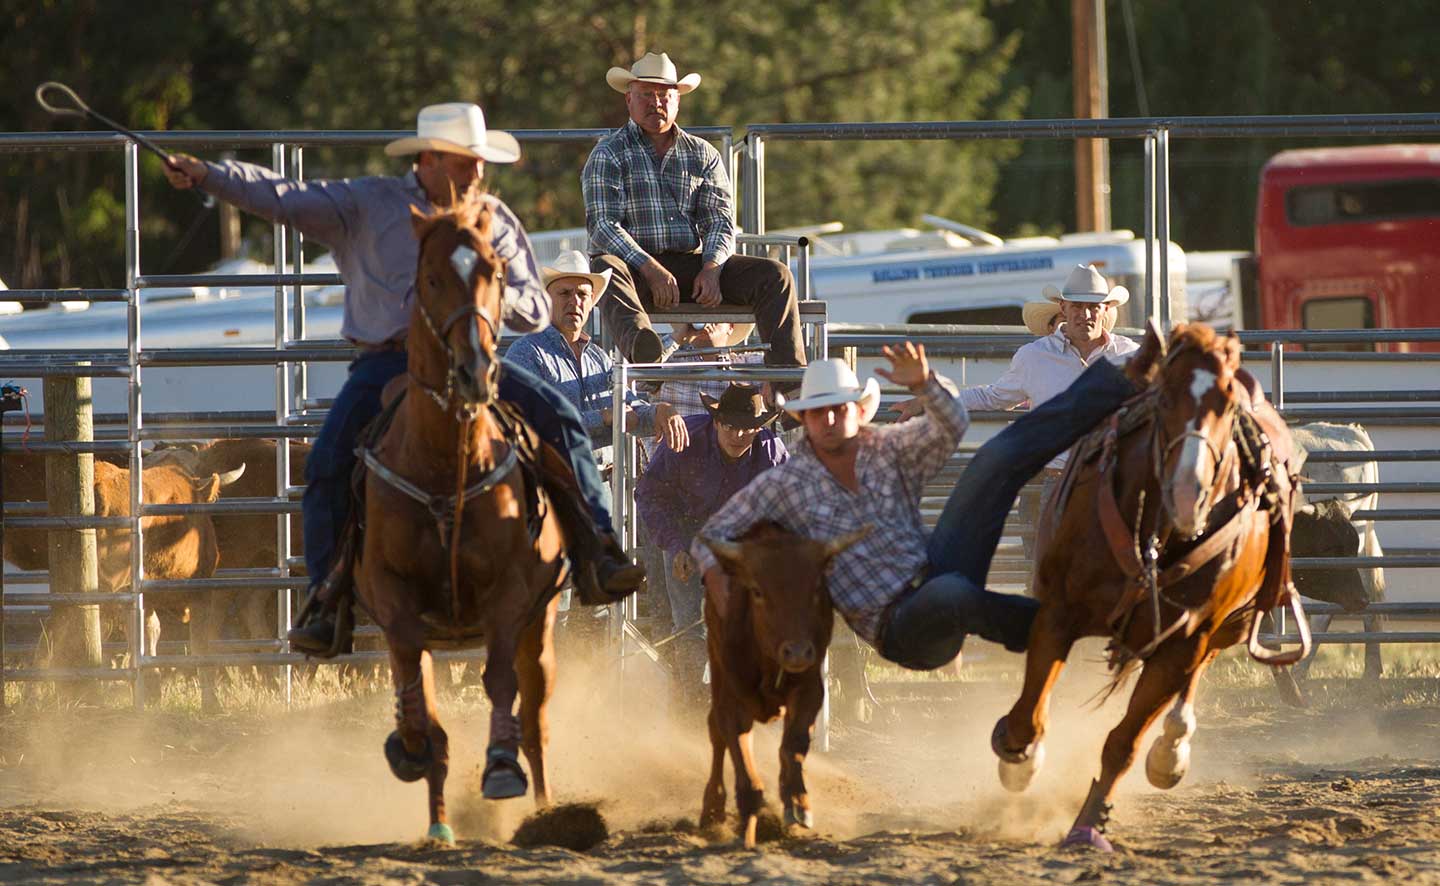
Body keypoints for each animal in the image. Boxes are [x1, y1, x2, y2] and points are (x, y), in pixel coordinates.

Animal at [354, 201, 567, 847]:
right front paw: (411, 749)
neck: (444, 463)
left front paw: (500, 771)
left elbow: (500, 685)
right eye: (428, 279)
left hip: (540, 625)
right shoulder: (394, 601)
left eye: (496, 274)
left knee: (536, 721)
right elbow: (420, 707)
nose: (475, 369)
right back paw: (440, 825)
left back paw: (546, 811)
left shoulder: (511, 595)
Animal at [696, 524, 864, 847]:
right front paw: (747, 834)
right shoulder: (733, 704)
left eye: (816, 589)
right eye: (757, 591)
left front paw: (798, 803)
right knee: (715, 732)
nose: (797, 652)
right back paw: (712, 810)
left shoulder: (810, 690)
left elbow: (793, 746)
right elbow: (744, 769)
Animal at [996, 324, 1313, 852]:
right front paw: (1020, 761)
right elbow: (1027, 718)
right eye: (1164, 397)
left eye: (1228, 404)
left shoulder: (1182, 644)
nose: (1189, 494)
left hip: (1229, 625)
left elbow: (1122, 743)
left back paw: (1171, 752)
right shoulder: (1058, 611)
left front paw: (1089, 824)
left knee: (1192, 682)